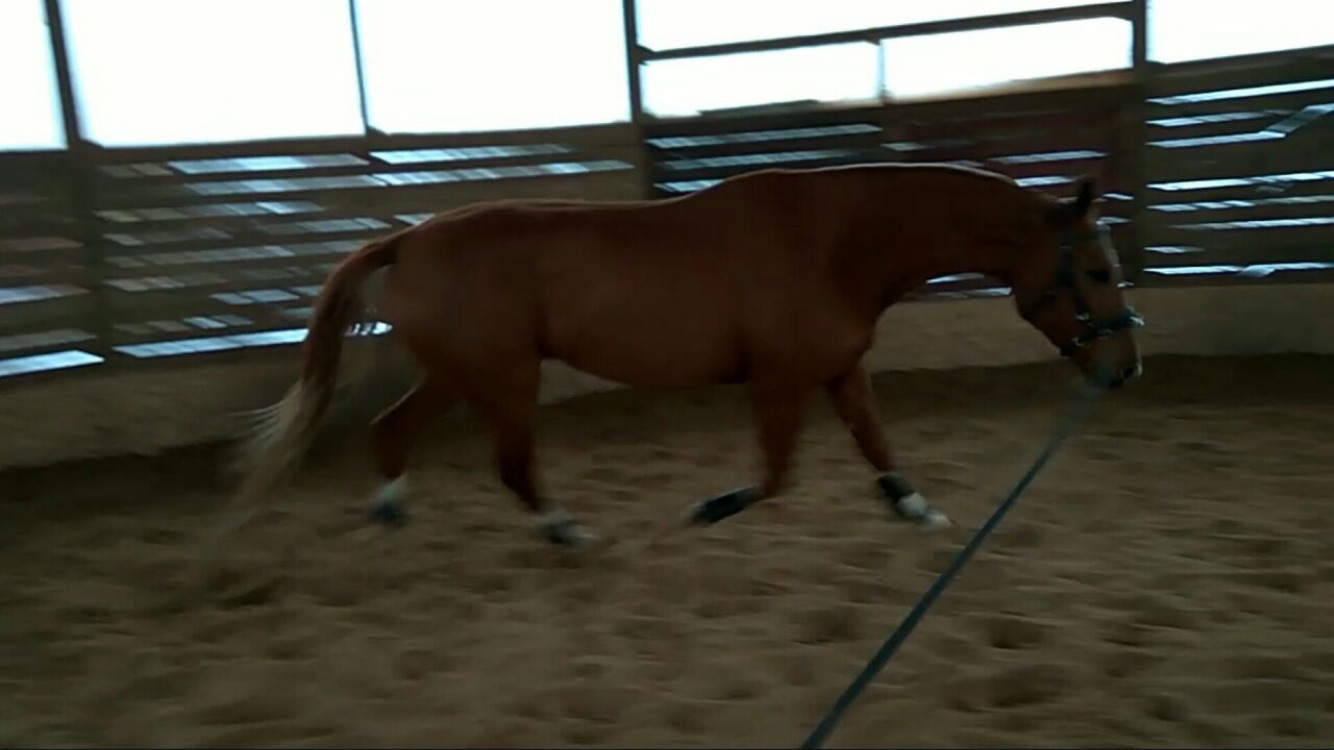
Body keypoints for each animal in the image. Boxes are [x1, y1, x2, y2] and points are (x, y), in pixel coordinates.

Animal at [221, 162, 1144, 554]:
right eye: (1098, 270)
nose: (1127, 367)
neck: (834, 242)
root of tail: (407, 241)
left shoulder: (841, 370)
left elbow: (879, 447)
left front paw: (919, 511)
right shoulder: (779, 380)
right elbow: (775, 477)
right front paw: (709, 509)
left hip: (459, 373)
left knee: (390, 430)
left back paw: (391, 514)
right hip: (503, 376)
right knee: (511, 465)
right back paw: (566, 530)